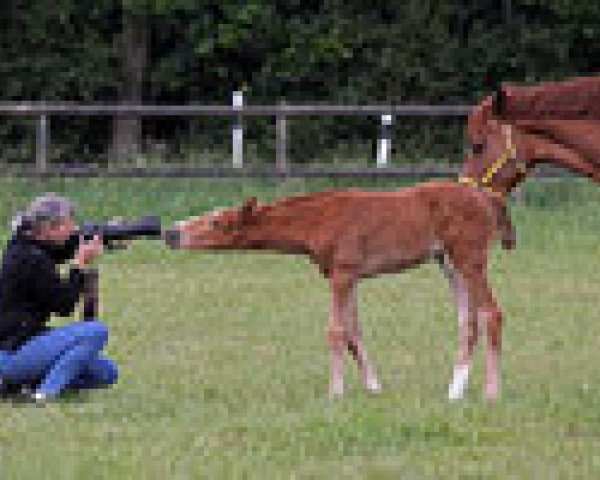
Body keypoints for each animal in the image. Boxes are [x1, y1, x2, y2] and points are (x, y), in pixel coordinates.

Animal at [166, 184, 512, 402]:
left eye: (216, 222)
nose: (170, 232)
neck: (320, 219)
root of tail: (487, 199)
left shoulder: (342, 273)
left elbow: (335, 331)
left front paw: (335, 393)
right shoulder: (349, 276)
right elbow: (353, 332)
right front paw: (373, 388)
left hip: (469, 259)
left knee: (491, 314)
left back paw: (491, 393)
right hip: (449, 264)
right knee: (468, 323)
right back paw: (454, 393)